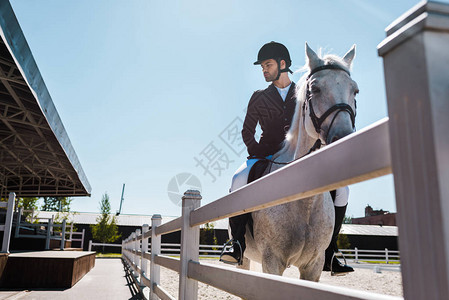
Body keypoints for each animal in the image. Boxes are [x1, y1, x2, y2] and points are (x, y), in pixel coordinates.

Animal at [234, 42, 356, 282]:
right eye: (315, 89)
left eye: (354, 90)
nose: (344, 138)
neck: (304, 199)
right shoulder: (272, 262)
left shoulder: (314, 265)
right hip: (245, 258)